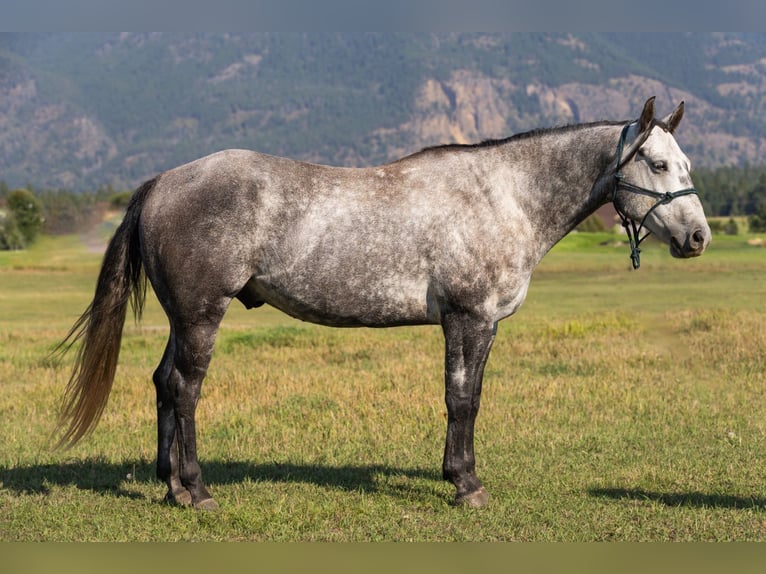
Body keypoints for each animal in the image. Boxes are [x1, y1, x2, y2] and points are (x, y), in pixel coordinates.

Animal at [60, 97, 712, 510]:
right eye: (657, 164)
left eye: (685, 164)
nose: (698, 237)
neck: (504, 196)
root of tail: (164, 182)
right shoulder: (468, 320)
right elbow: (461, 401)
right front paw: (466, 485)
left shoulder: (486, 326)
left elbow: (472, 399)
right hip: (201, 316)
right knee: (186, 389)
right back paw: (196, 490)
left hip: (183, 318)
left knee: (163, 383)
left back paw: (169, 485)